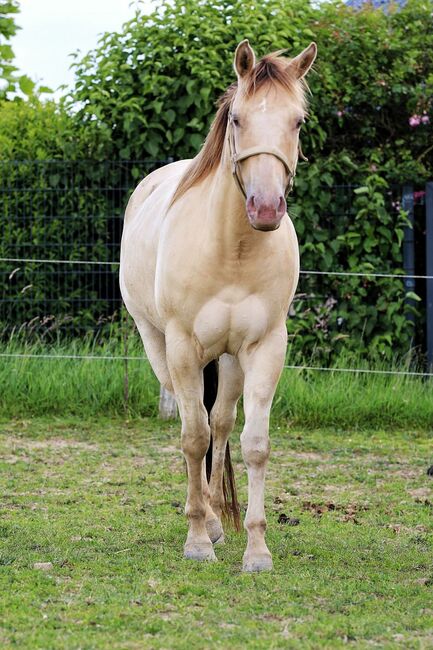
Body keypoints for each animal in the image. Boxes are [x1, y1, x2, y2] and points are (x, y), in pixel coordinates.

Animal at [120, 38, 316, 568]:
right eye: (238, 119)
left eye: (297, 121)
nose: (266, 208)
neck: (233, 251)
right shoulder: (184, 348)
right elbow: (193, 438)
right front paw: (197, 541)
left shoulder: (266, 347)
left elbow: (253, 443)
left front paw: (257, 549)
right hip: (159, 347)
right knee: (198, 426)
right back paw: (204, 519)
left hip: (228, 359)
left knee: (223, 422)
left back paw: (214, 516)